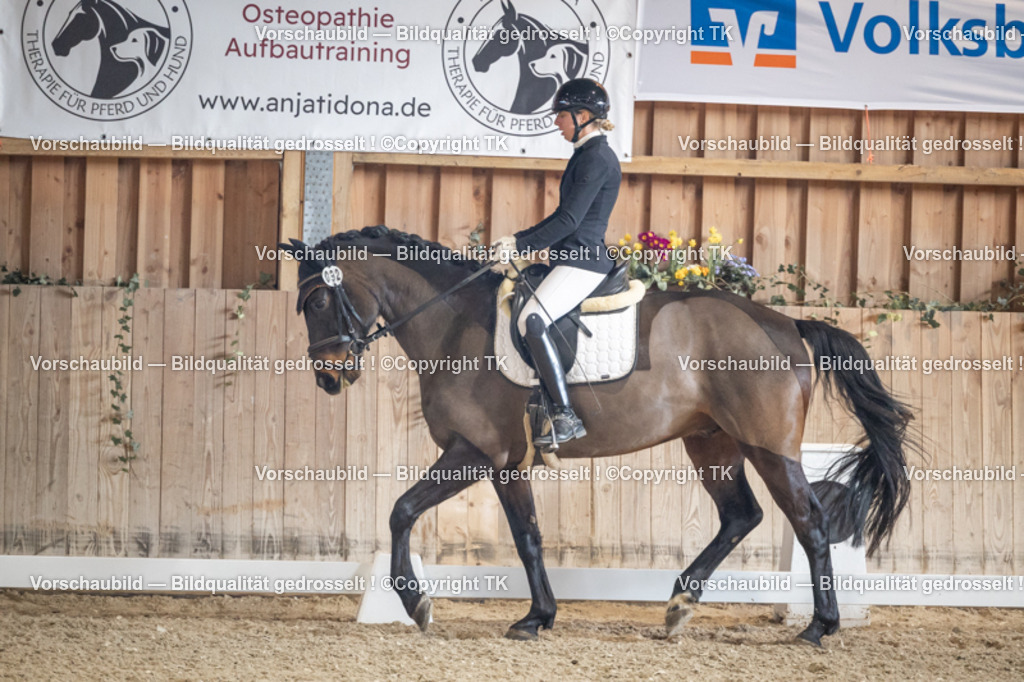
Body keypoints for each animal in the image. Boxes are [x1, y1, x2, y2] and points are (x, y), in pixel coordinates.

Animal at [279, 226, 914, 647]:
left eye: (317, 299)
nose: (328, 377)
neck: (453, 323)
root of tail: (787, 324)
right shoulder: (506, 463)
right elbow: (527, 537)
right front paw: (538, 616)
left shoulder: (476, 451)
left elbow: (402, 510)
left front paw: (417, 602)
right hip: (711, 442)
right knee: (742, 515)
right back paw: (679, 605)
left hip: (769, 447)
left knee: (809, 520)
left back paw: (819, 626)